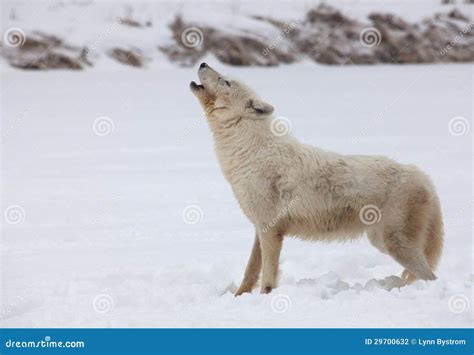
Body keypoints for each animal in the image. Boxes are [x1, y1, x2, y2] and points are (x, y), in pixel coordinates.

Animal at [190, 62, 444, 296]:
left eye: (225, 81)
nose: (203, 63)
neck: (248, 149)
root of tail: (423, 177)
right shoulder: (259, 228)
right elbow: (250, 271)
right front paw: (239, 296)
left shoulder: (270, 230)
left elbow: (268, 276)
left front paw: (266, 298)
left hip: (391, 244)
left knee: (431, 277)